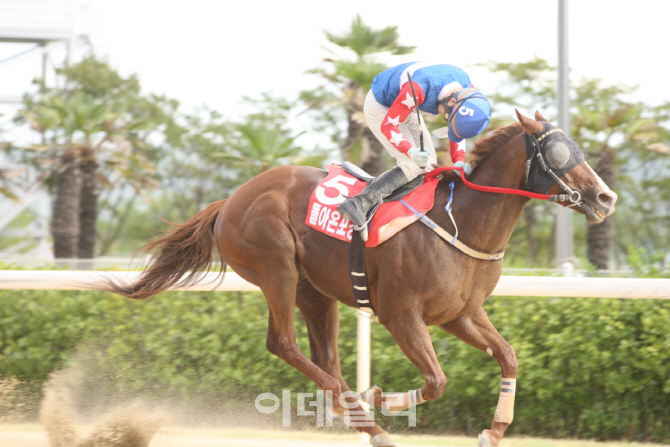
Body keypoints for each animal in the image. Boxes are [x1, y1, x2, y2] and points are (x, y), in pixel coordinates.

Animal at [102, 110, 616, 446]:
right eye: (558, 151)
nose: (605, 198)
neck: (461, 223)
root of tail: (229, 200)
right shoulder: (400, 314)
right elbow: (436, 381)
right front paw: (381, 396)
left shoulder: (460, 314)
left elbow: (508, 357)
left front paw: (494, 429)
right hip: (276, 268)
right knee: (283, 343)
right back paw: (370, 422)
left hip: (313, 289)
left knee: (324, 356)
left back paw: (355, 414)